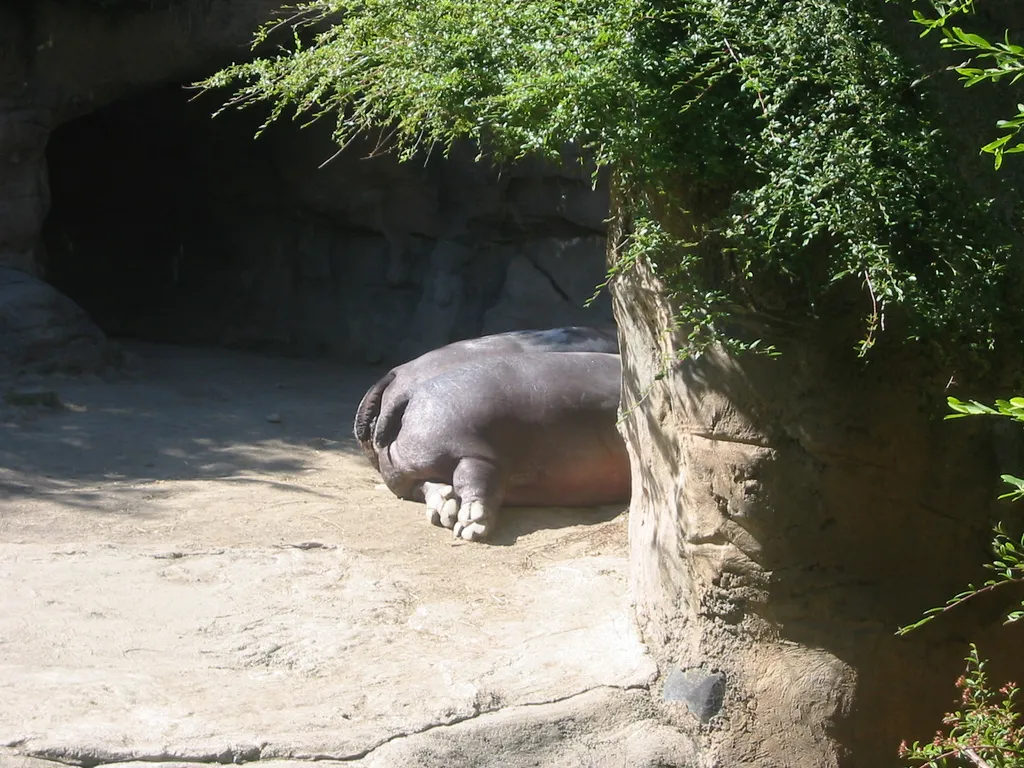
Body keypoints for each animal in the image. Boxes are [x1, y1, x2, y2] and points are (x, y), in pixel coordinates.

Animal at [373, 351, 630, 541]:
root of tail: (410, 393)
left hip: (412, 469)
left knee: (427, 486)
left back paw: (447, 509)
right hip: (472, 449)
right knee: (476, 483)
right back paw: (472, 526)